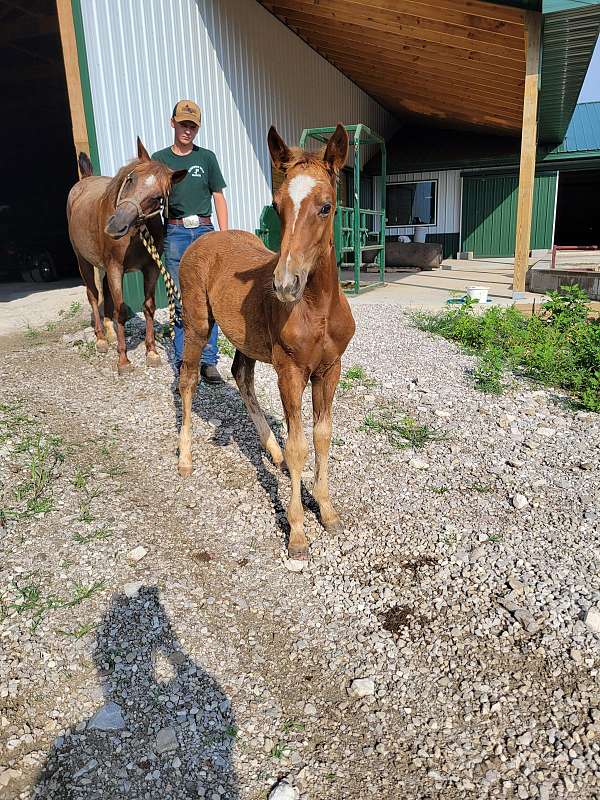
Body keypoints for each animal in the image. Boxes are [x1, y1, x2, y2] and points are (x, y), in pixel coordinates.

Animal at [178, 125, 356, 560]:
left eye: (326, 206)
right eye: (277, 206)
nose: (285, 284)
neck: (316, 307)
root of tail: (203, 239)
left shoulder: (329, 369)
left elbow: (322, 436)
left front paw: (327, 511)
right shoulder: (289, 370)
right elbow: (299, 447)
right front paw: (297, 533)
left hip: (247, 339)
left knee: (241, 375)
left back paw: (270, 451)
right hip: (197, 324)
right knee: (187, 379)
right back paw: (185, 457)